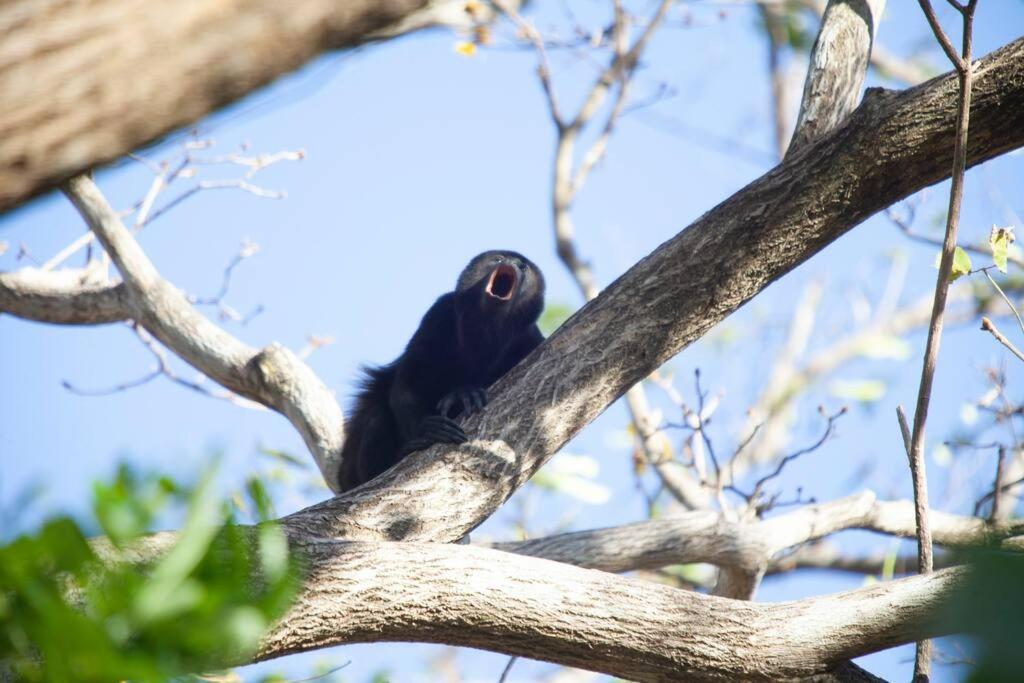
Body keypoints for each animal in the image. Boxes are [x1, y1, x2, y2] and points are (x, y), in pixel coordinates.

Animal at [335, 250, 544, 491]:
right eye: (498, 259)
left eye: (524, 266)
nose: (513, 264)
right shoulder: (439, 312)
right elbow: (406, 384)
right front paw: (428, 429)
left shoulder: (531, 339)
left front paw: (463, 394)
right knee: (375, 416)